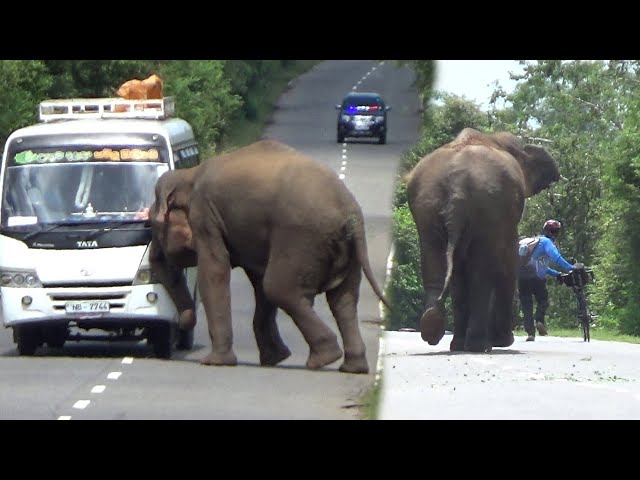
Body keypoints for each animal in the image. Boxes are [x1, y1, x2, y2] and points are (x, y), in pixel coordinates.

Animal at [404, 127, 560, 352]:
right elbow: (508, 262)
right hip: (487, 205)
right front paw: (503, 342)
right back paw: (478, 345)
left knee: (439, 266)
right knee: (481, 273)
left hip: (426, 207)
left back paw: (441, 333)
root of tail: (457, 188)